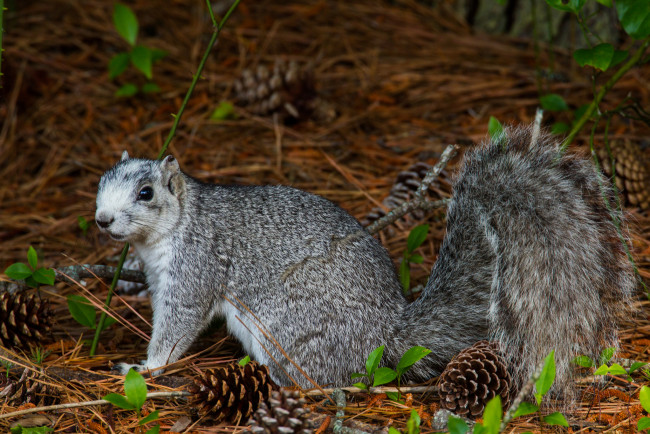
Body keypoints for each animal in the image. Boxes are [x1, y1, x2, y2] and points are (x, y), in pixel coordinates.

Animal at [96, 126, 632, 396]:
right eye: (101, 182)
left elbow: (178, 325)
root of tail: (384, 337)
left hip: (288, 323)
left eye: (145, 193)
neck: (172, 229)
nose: (102, 220)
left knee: (318, 379)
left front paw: (145, 367)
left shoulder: (198, 266)